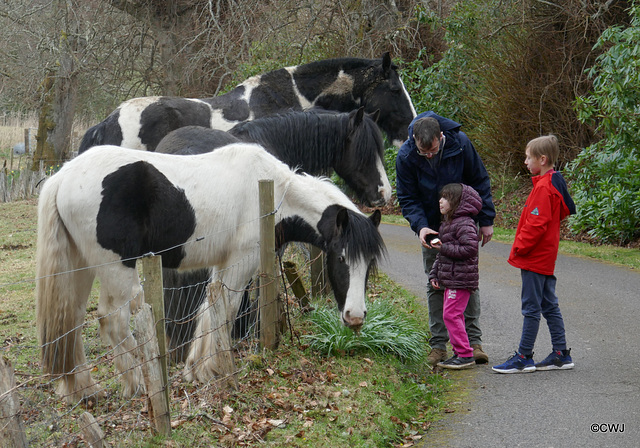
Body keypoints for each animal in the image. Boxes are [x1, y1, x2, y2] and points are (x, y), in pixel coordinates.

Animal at [35, 144, 384, 402]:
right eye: (341, 258)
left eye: (369, 265)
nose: (355, 317)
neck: (275, 194)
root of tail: (62, 177)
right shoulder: (242, 261)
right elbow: (226, 309)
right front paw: (215, 369)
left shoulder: (224, 263)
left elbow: (211, 306)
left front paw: (196, 368)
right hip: (117, 270)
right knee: (113, 320)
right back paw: (137, 383)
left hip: (81, 269)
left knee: (71, 322)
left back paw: (85, 390)